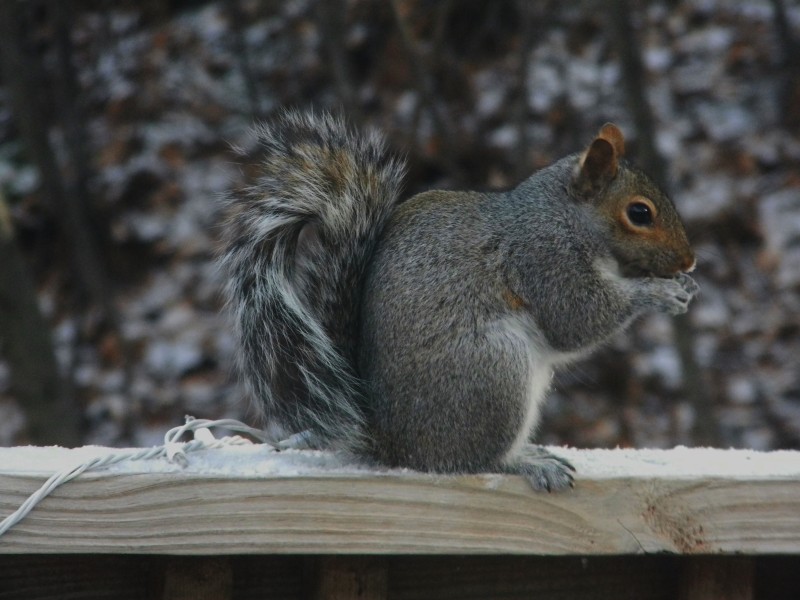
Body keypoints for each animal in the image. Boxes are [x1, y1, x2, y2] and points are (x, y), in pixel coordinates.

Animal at [222, 110, 696, 490]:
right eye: (639, 213)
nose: (689, 260)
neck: (564, 217)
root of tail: (391, 443)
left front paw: (685, 286)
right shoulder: (543, 259)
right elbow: (576, 318)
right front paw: (658, 292)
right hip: (493, 371)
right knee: (475, 460)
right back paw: (526, 463)